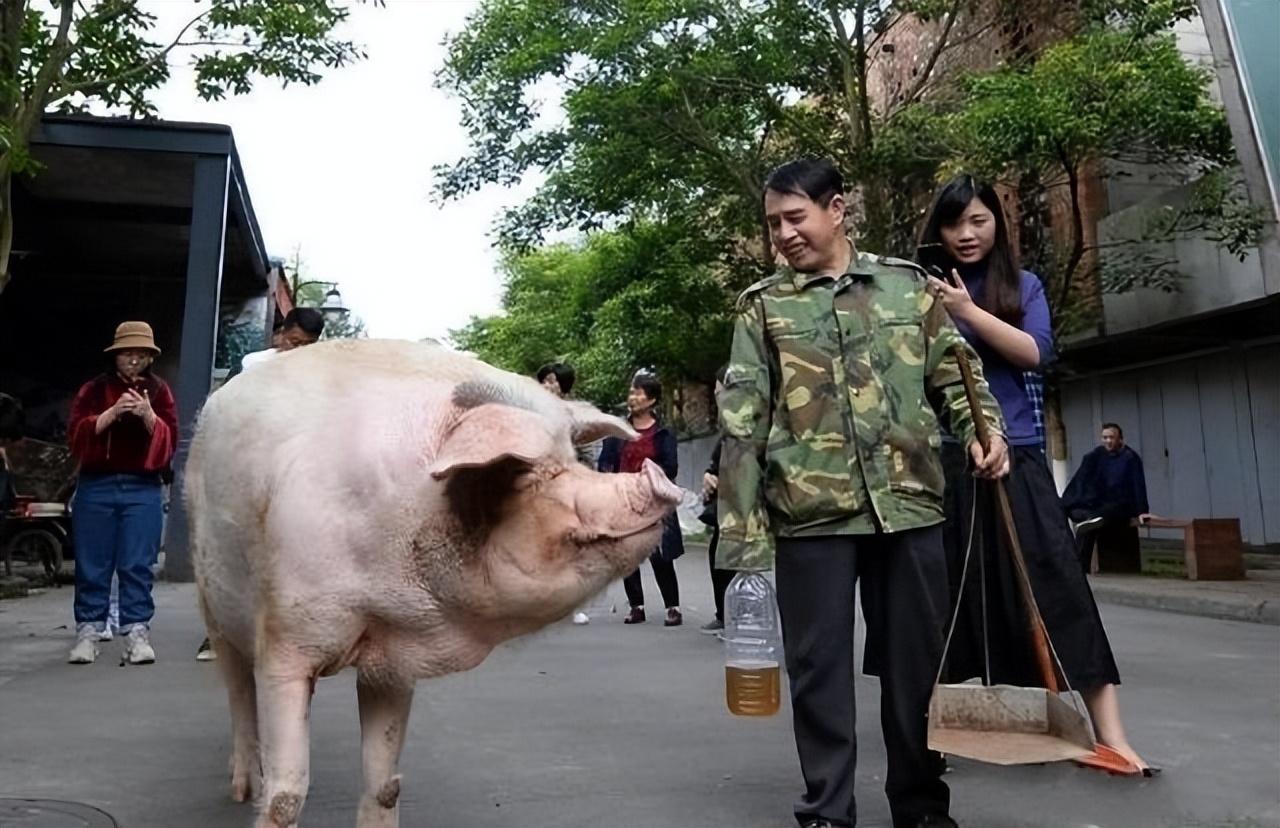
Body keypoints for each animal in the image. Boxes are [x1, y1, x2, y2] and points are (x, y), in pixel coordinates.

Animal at [186, 340, 686, 824]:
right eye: (528, 476)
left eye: (574, 459)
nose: (660, 478)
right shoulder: (285, 639)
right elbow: (286, 798)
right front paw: (268, 798)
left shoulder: (391, 658)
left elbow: (386, 785)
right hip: (209, 595)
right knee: (237, 689)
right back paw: (243, 790)